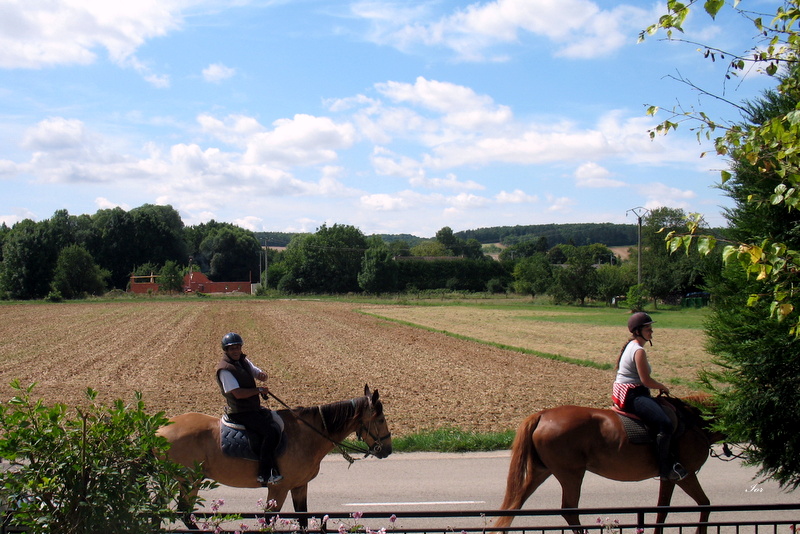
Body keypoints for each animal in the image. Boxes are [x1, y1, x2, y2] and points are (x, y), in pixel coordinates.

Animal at [156, 386, 390, 528]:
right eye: (380, 420)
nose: (387, 449)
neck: (308, 434)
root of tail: (159, 430)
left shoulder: (299, 486)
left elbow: (302, 519)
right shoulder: (278, 489)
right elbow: (269, 520)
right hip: (190, 480)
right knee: (184, 512)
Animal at [496, 396, 720, 532]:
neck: (693, 422)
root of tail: (542, 415)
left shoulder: (669, 478)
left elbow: (662, 509)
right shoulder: (686, 475)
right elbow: (705, 504)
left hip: (542, 472)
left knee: (514, 504)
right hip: (571, 475)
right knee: (569, 510)